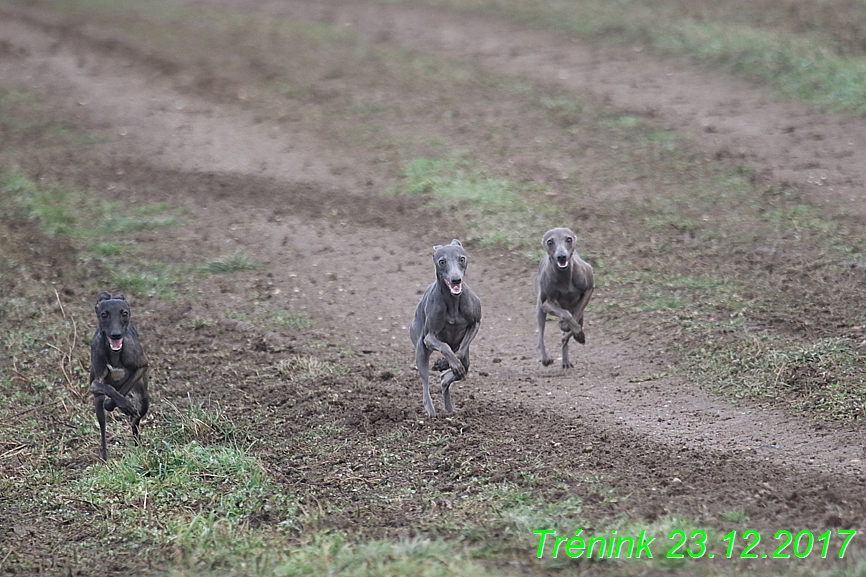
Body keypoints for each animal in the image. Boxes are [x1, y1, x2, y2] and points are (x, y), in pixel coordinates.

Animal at [89, 290, 148, 462]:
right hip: (97, 403)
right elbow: (108, 388)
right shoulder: (95, 384)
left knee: (136, 420)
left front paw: (119, 405)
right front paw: (119, 403)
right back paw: (104, 456)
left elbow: (123, 389)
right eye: (104, 315)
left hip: (143, 399)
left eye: (124, 313)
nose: (116, 335)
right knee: (102, 425)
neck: (115, 354)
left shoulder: (142, 366)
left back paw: (137, 445)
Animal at [410, 238, 482, 414]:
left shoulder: (475, 324)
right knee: (425, 385)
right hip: (421, 351)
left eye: (462, 259)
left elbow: (460, 353)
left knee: (449, 375)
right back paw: (431, 412)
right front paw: (449, 363)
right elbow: (444, 346)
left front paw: (446, 364)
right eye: (442, 261)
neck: (453, 302)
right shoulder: (429, 338)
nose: (456, 279)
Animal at [532, 227, 592, 366]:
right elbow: (566, 315)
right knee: (541, 334)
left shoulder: (589, 290)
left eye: (568, 239)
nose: (561, 256)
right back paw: (545, 357)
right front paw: (572, 329)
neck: (565, 276)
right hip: (540, 307)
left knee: (576, 323)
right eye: (550, 241)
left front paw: (576, 333)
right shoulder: (546, 303)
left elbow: (575, 316)